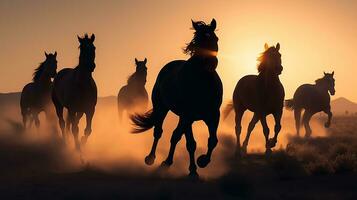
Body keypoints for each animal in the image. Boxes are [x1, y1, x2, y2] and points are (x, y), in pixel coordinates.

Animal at [129, 19, 221, 178]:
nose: (211, 63)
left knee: (176, 136)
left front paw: (202, 161)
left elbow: (213, 140)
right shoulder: (188, 116)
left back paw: (168, 161)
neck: (202, 84)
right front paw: (193, 170)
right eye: (198, 41)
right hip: (162, 108)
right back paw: (151, 158)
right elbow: (190, 143)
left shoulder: (213, 115)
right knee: (159, 132)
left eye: (215, 39)